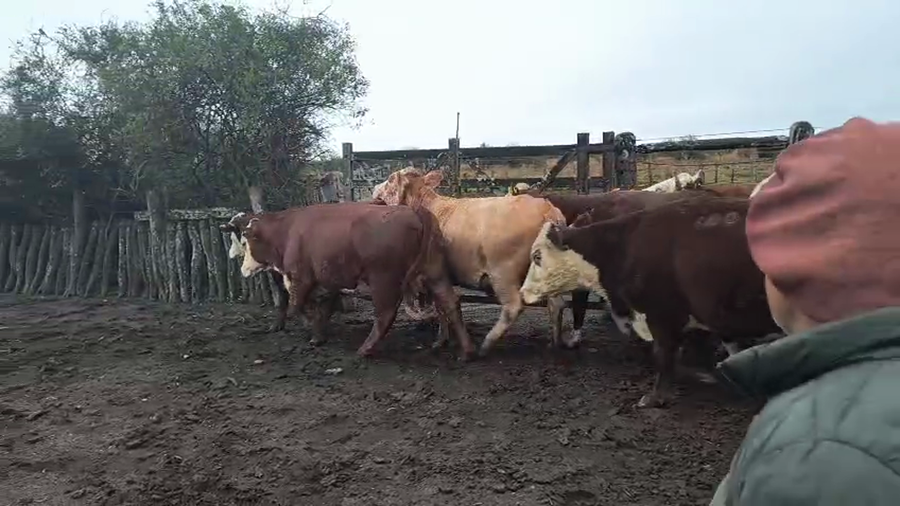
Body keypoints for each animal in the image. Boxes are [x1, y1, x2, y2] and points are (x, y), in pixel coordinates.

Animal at [222, 202, 475, 359]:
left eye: (244, 241)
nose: (242, 269)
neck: (289, 230)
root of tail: (413, 211)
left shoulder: (301, 278)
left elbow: (297, 306)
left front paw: (313, 331)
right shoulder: (329, 281)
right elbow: (321, 307)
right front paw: (318, 332)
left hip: (383, 280)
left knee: (385, 314)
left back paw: (365, 349)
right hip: (435, 274)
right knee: (450, 303)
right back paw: (465, 351)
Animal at [371, 168, 571, 356]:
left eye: (390, 179)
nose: (374, 189)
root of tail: (546, 208)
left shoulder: (433, 273)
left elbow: (442, 305)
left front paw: (442, 340)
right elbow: (440, 306)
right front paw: (442, 339)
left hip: (503, 272)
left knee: (513, 307)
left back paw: (486, 345)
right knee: (556, 304)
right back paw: (555, 343)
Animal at [519, 194, 780, 407]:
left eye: (537, 256)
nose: (522, 292)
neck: (622, 247)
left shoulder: (662, 316)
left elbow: (663, 355)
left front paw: (655, 398)